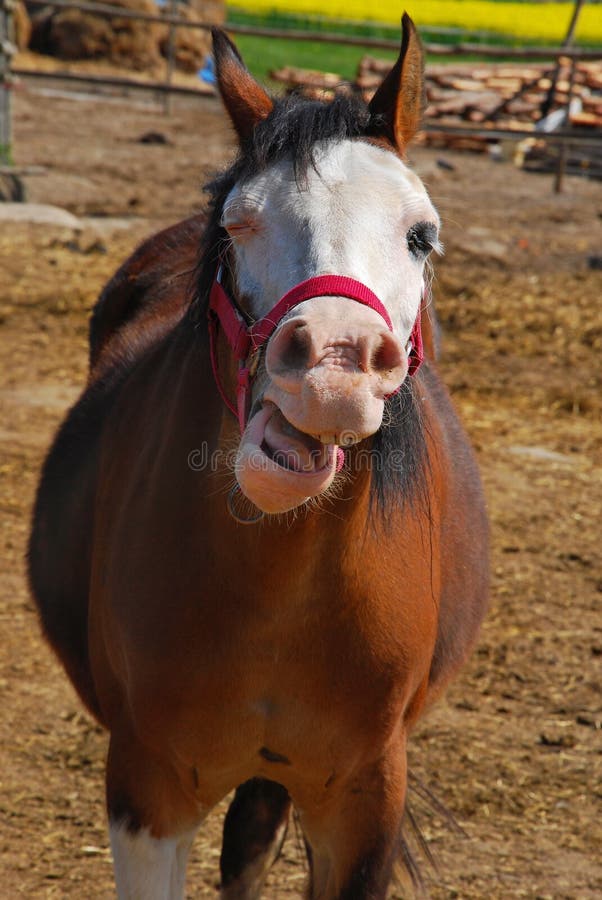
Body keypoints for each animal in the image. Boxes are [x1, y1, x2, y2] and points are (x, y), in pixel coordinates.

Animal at [29, 15, 488, 900]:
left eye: (421, 236)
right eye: (240, 226)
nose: (335, 367)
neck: (284, 585)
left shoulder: (364, 805)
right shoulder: (146, 793)